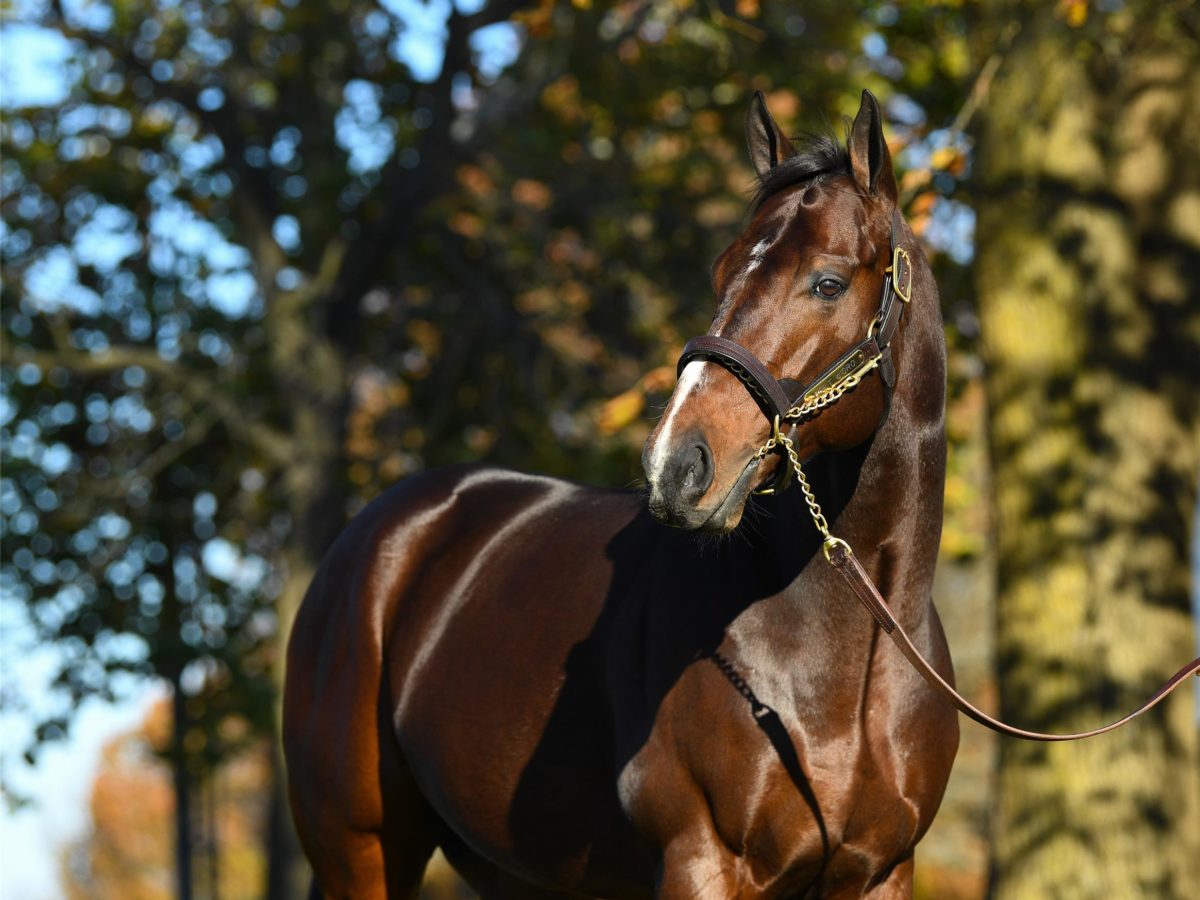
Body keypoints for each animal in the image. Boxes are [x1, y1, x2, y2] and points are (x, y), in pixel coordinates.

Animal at [280, 86, 955, 900]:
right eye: (721, 273)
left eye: (827, 282)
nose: (677, 464)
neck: (846, 671)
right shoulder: (701, 862)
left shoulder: (882, 872)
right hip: (363, 852)